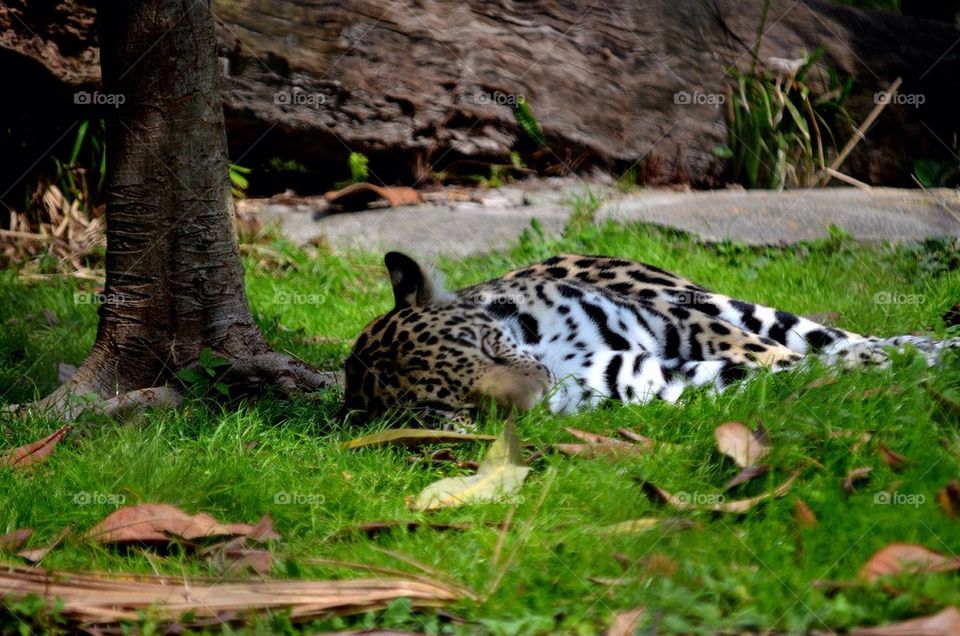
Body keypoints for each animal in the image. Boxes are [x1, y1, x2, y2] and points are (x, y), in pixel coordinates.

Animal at [341, 251, 958, 424]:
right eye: (461, 408)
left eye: (489, 346)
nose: (537, 392)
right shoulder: (640, 376)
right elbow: (774, 370)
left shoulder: (674, 322)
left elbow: (772, 353)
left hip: (693, 294)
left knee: (825, 334)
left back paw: (923, 348)